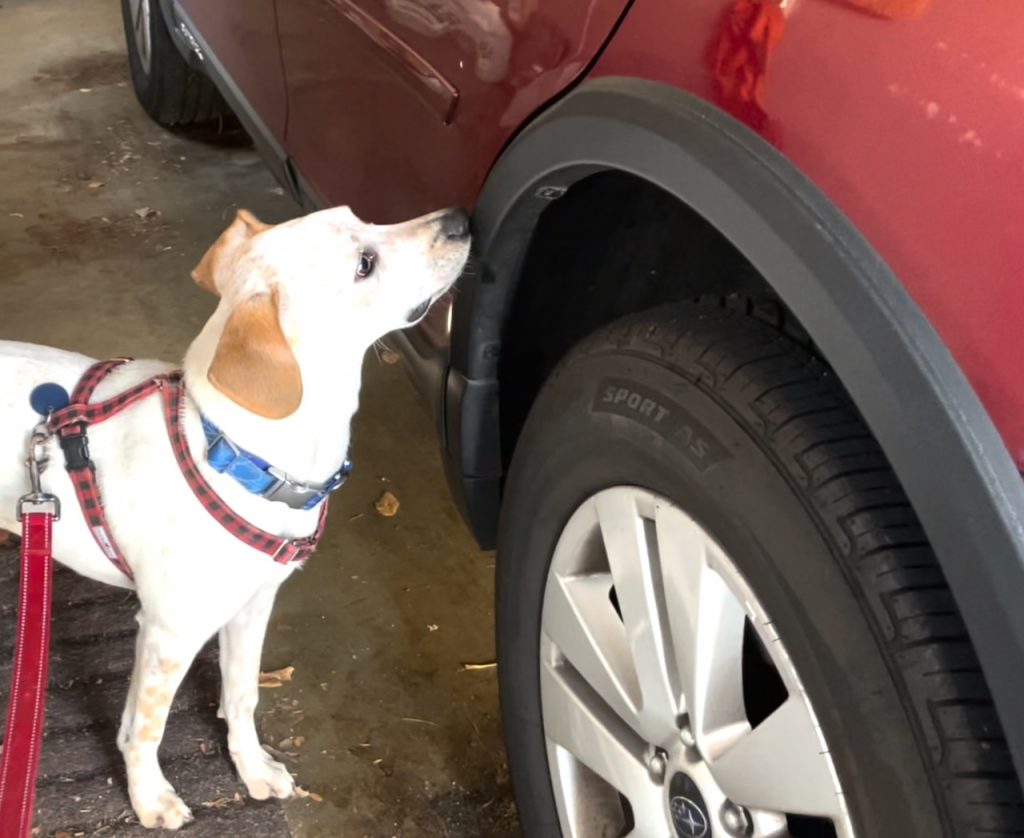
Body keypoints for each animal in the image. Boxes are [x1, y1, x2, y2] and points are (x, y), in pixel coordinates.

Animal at [0, 205, 468, 827]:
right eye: (364, 263)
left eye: (361, 217)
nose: (461, 220)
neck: (235, 453)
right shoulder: (169, 632)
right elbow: (146, 727)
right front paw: (149, 797)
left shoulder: (253, 603)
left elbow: (241, 695)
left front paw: (252, 769)